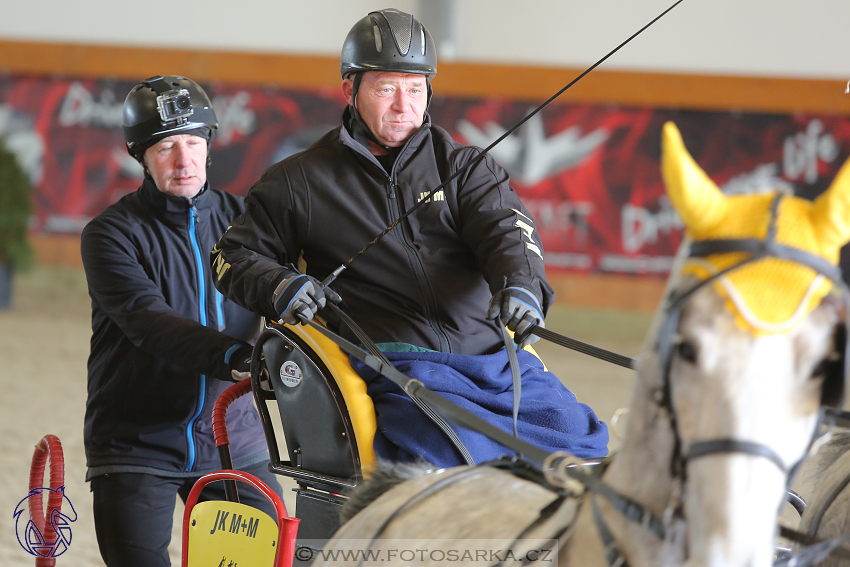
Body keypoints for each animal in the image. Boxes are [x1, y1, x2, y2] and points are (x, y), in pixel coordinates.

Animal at [310, 124, 848, 567]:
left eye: (824, 367)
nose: (730, 537)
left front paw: (520, 305)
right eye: (687, 348)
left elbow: (503, 227)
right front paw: (298, 292)